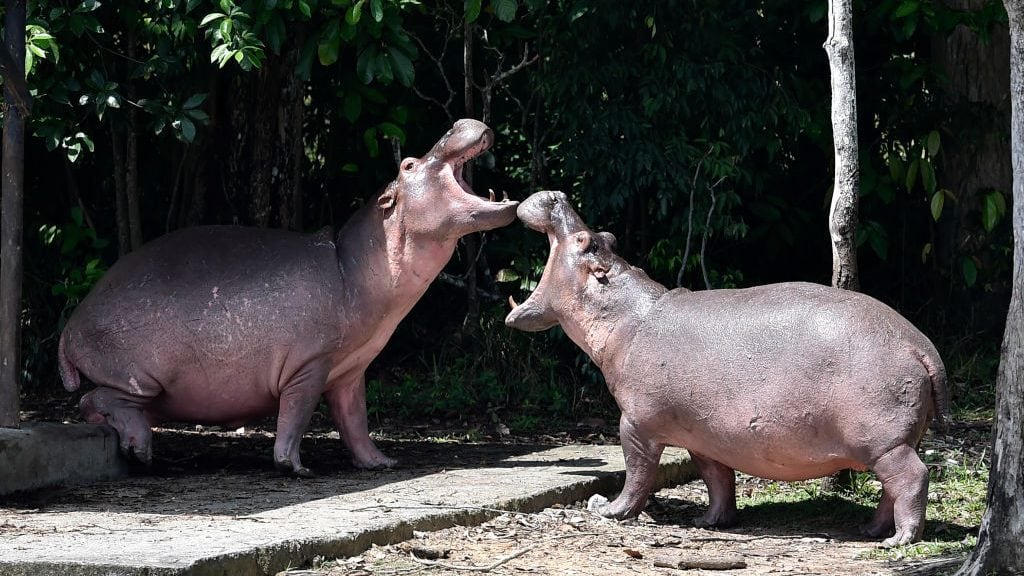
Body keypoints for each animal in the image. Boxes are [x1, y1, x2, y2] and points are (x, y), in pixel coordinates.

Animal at [59, 119, 518, 476]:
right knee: (95, 400)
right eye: (407, 165)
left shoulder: (351, 369)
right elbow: (295, 417)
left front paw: (381, 463)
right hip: (141, 378)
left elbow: (356, 421)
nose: (457, 123)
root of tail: (70, 327)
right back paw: (140, 450)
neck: (353, 264)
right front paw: (296, 468)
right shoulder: (309, 365)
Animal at [505, 191, 948, 546]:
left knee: (912, 478)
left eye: (586, 241)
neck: (624, 315)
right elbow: (716, 479)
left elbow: (637, 473)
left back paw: (898, 540)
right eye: (606, 237)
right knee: (891, 488)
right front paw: (710, 522)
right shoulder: (702, 436)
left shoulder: (636, 424)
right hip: (891, 441)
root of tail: (920, 344)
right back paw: (870, 530)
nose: (556, 194)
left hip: (884, 442)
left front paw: (609, 510)